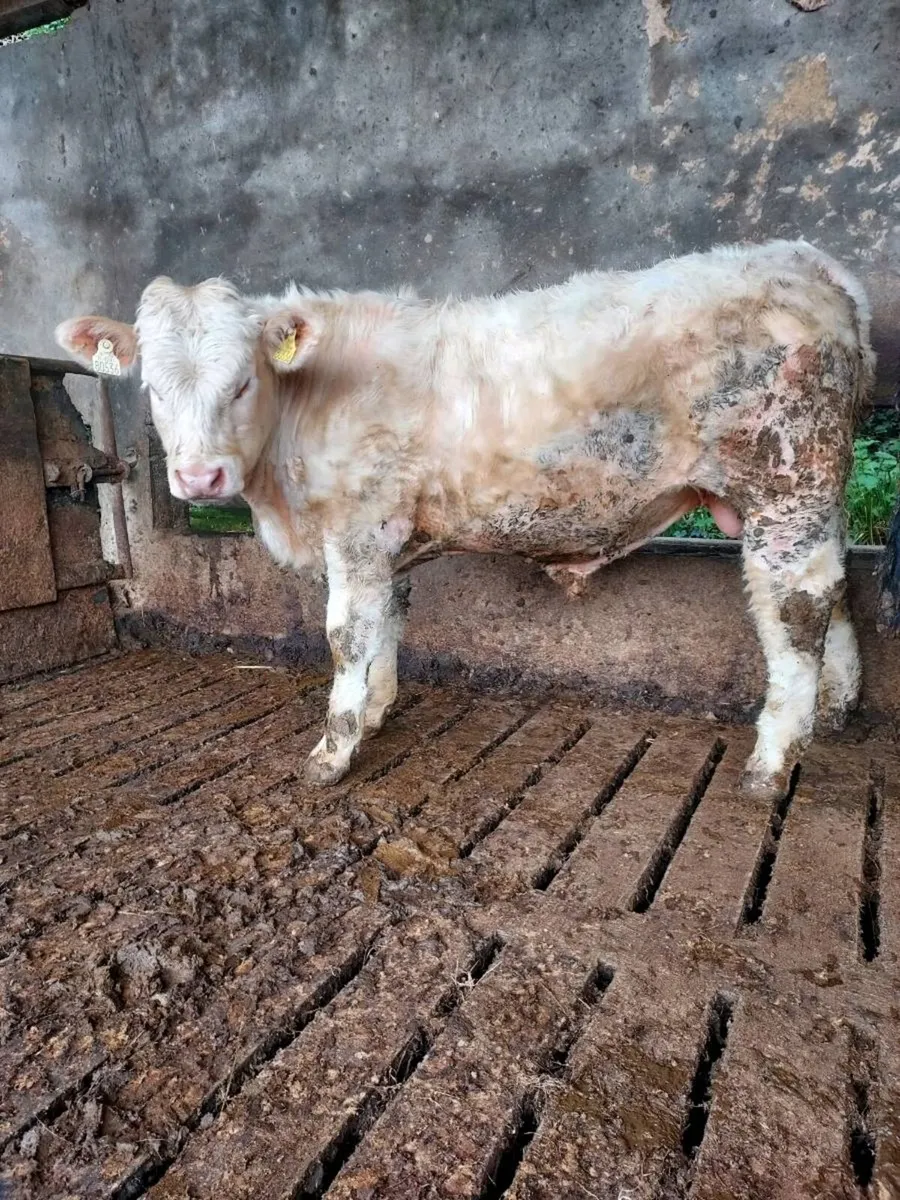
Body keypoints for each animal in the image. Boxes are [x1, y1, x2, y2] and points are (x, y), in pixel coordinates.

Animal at [57, 239, 875, 799]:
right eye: (153, 389)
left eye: (241, 382)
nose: (199, 476)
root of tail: (804, 261)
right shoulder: (385, 537)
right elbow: (387, 619)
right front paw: (377, 710)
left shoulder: (355, 524)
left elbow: (346, 634)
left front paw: (334, 749)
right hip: (803, 498)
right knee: (830, 592)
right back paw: (833, 713)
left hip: (786, 481)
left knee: (794, 608)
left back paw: (772, 762)